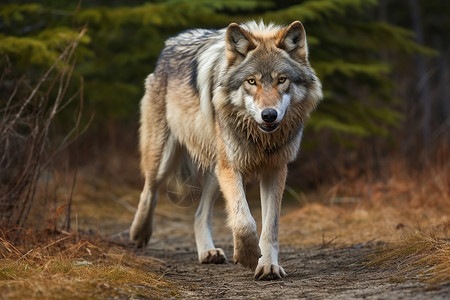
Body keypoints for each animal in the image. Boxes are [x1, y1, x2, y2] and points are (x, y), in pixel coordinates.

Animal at [130, 20, 324, 278]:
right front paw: (249, 256)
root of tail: (171, 42)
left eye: (281, 80)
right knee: (149, 190)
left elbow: (270, 226)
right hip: (166, 157)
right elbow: (244, 220)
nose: (269, 115)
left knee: (199, 214)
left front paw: (268, 265)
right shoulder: (231, 168)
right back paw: (139, 234)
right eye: (251, 81)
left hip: (215, 171)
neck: (260, 138)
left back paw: (207, 252)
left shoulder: (275, 169)